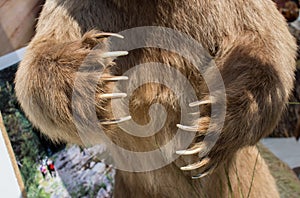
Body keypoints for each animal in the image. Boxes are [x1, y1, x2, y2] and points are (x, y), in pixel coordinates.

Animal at [14, 0, 296, 198]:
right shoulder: (85, 11)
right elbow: (38, 59)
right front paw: (94, 77)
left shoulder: (224, 11)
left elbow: (267, 41)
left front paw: (208, 122)